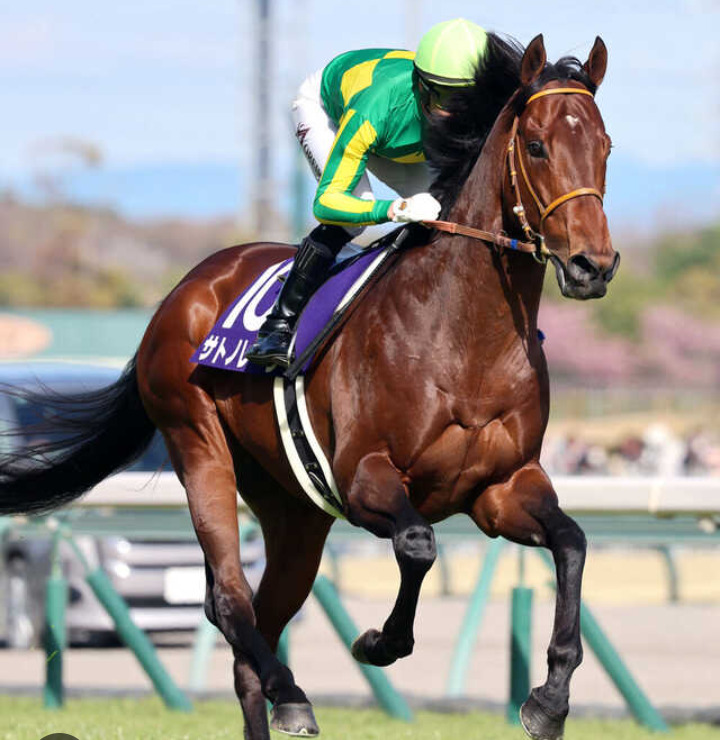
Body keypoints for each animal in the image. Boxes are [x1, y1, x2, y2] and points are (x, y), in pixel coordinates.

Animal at [0, 33, 618, 740]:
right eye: (537, 145)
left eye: (605, 146)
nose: (592, 265)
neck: (465, 339)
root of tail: (183, 290)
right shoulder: (363, 477)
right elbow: (418, 543)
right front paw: (379, 642)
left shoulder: (501, 488)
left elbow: (572, 543)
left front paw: (549, 698)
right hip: (197, 444)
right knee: (229, 601)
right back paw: (291, 692)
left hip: (294, 510)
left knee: (255, 628)